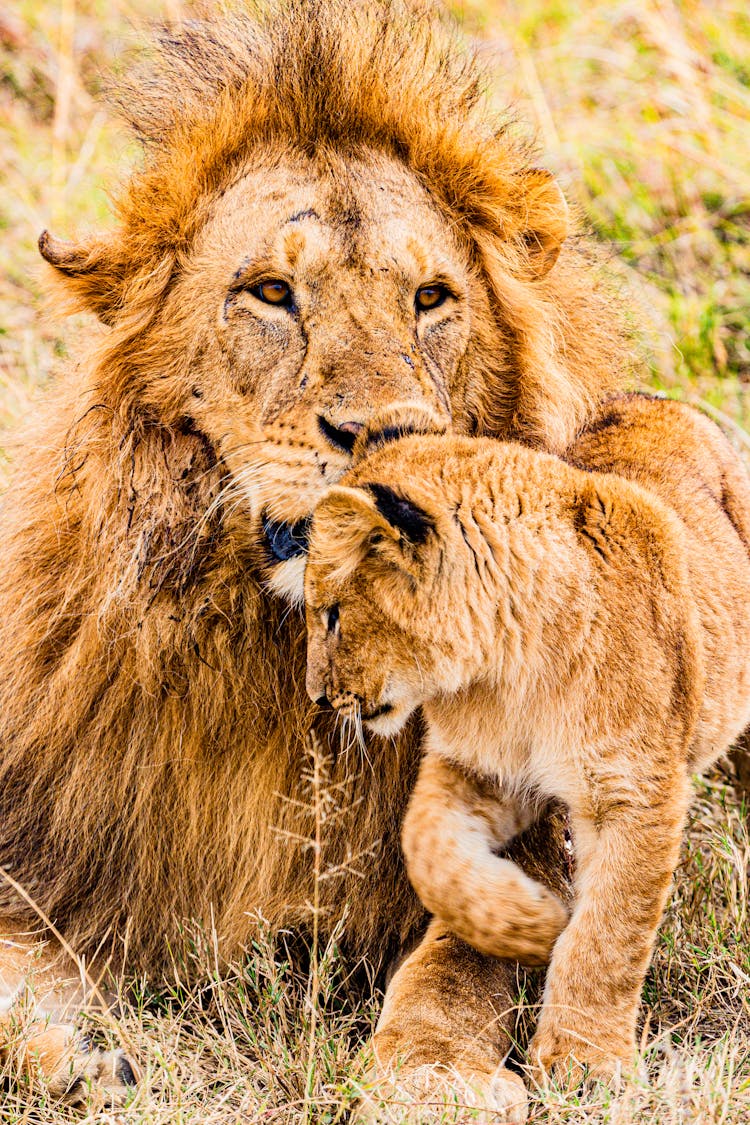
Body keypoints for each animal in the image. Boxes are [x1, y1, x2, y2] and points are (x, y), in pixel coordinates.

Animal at [0, 0, 647, 1111]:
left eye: (431, 298)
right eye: (269, 292)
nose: (384, 432)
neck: (290, 676)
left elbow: (463, 954)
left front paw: (432, 1074)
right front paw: (75, 1054)